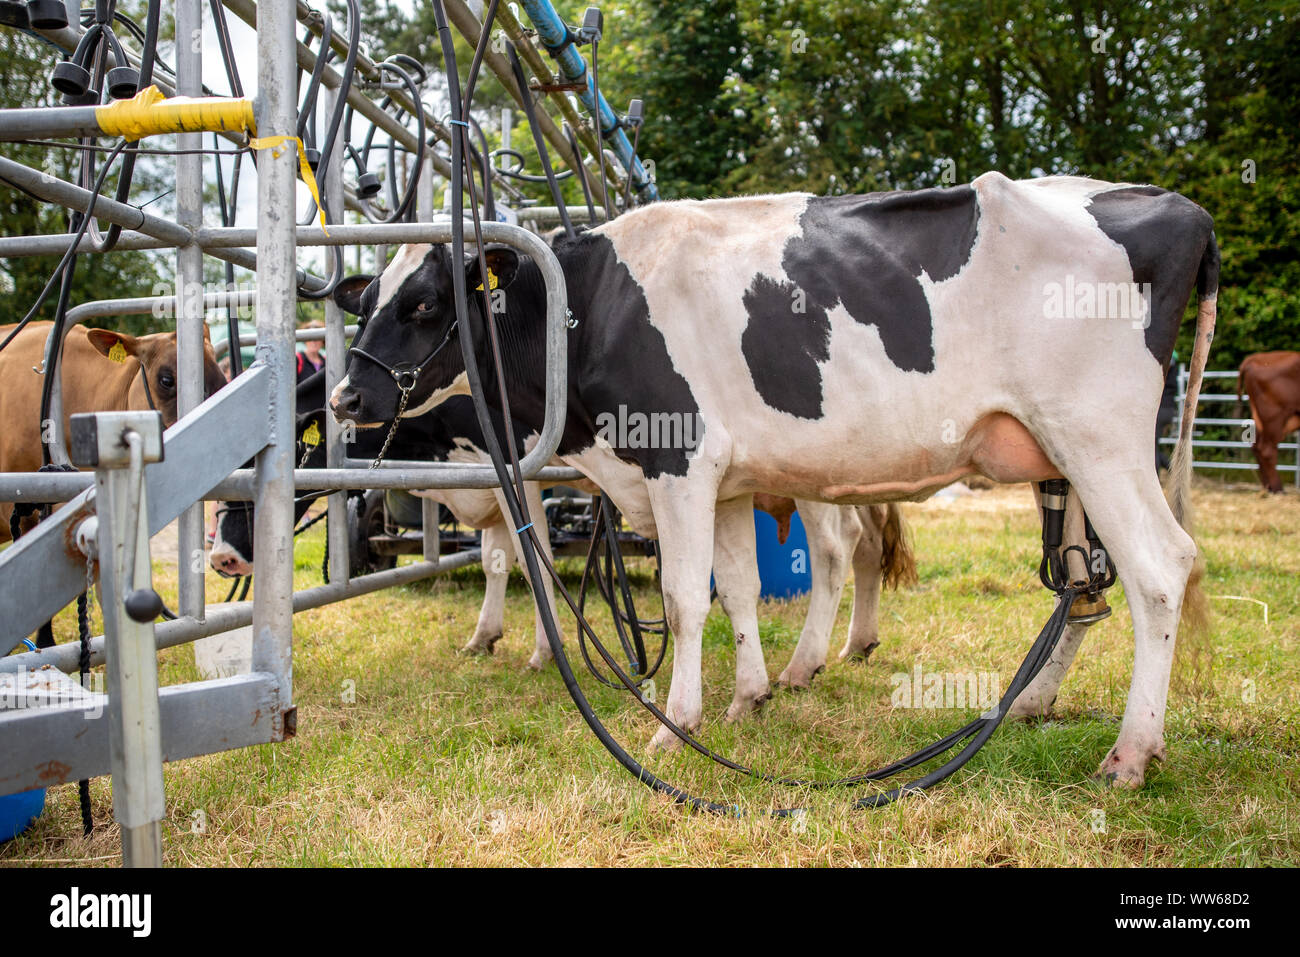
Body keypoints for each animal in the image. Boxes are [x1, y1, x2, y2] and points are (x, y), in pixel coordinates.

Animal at [332, 175, 1216, 790]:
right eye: (365, 297)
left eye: (424, 302)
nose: (344, 397)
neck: (588, 307)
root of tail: (1177, 207)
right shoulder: (726, 482)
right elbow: (738, 589)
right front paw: (748, 697)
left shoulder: (679, 461)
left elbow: (684, 600)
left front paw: (674, 726)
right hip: (1065, 459)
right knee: (1085, 586)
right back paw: (1028, 706)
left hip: (1099, 439)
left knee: (1160, 570)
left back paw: (1131, 751)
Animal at [1237, 351, 1300, 494]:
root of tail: (1254, 358)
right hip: (1274, 416)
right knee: (1267, 450)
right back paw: (1278, 489)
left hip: (1260, 417)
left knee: (1257, 447)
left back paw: (1268, 487)